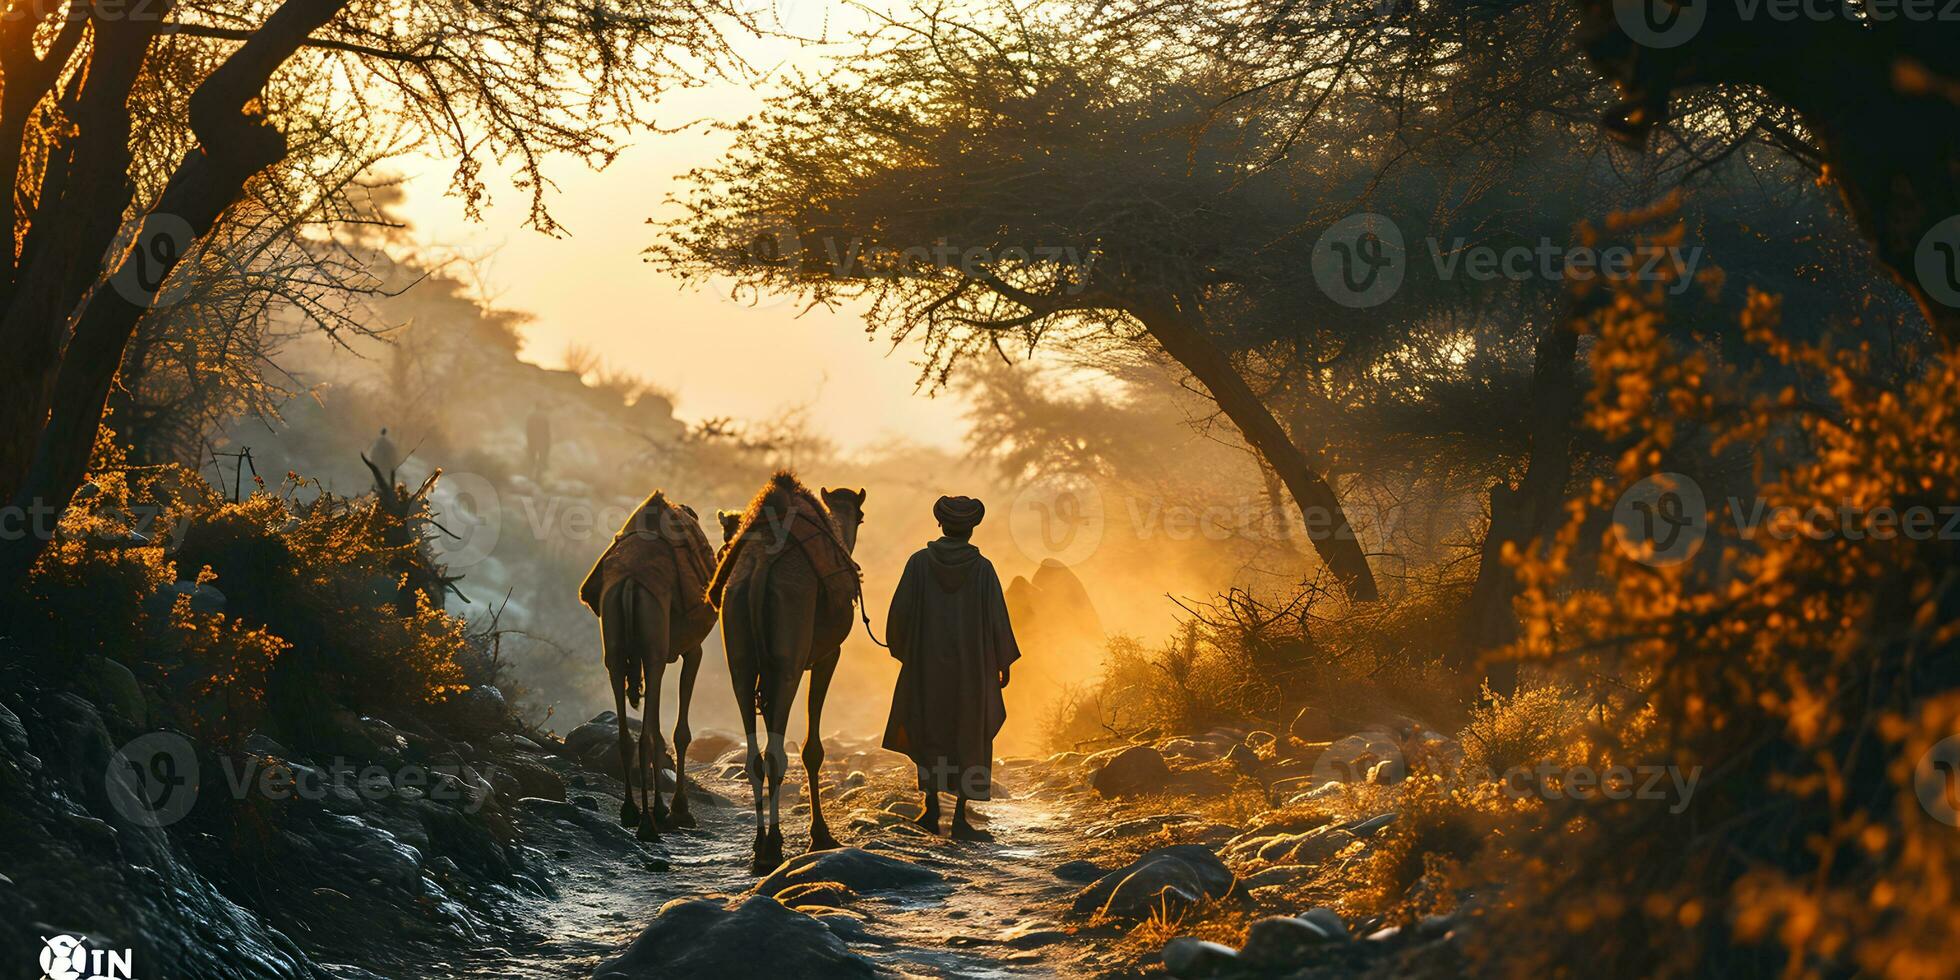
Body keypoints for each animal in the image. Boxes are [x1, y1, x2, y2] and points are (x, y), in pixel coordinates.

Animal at [580, 493, 721, 838]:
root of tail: (632, 580)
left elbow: (656, 726)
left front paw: (663, 807)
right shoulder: (692, 650)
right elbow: (679, 732)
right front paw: (680, 810)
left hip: (616, 648)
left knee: (627, 734)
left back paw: (632, 811)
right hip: (654, 648)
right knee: (646, 736)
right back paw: (647, 822)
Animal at [705, 470, 858, 870]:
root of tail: (760, 569)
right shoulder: (828, 655)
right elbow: (812, 749)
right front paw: (821, 835)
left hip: (740, 653)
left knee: (753, 755)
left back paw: (760, 846)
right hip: (788, 656)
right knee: (776, 755)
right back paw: (773, 845)